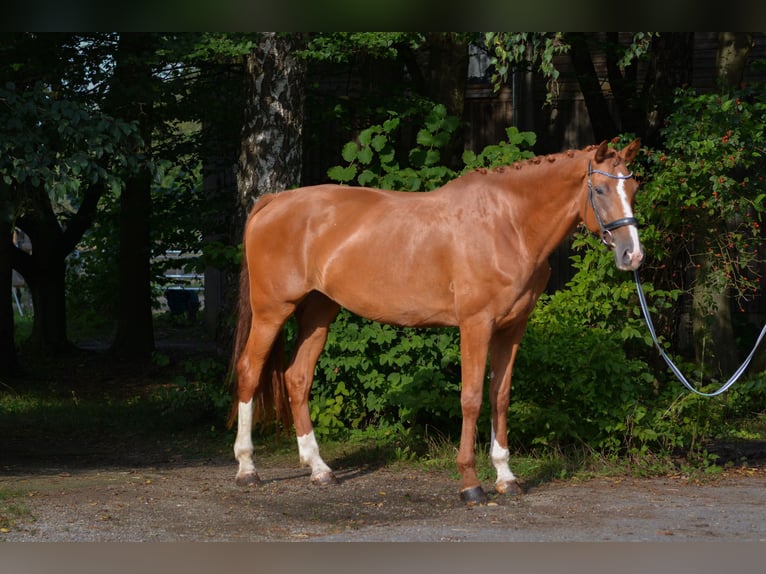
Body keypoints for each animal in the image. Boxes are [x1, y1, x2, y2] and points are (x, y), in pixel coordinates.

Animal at [231, 140, 644, 504]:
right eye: (601, 189)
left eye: (633, 188)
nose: (633, 255)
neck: (508, 225)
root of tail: (273, 202)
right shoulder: (476, 325)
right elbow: (472, 399)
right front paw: (471, 484)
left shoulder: (511, 329)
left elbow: (500, 396)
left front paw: (506, 477)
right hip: (272, 311)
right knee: (250, 370)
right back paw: (247, 468)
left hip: (320, 312)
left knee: (297, 377)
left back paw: (319, 469)